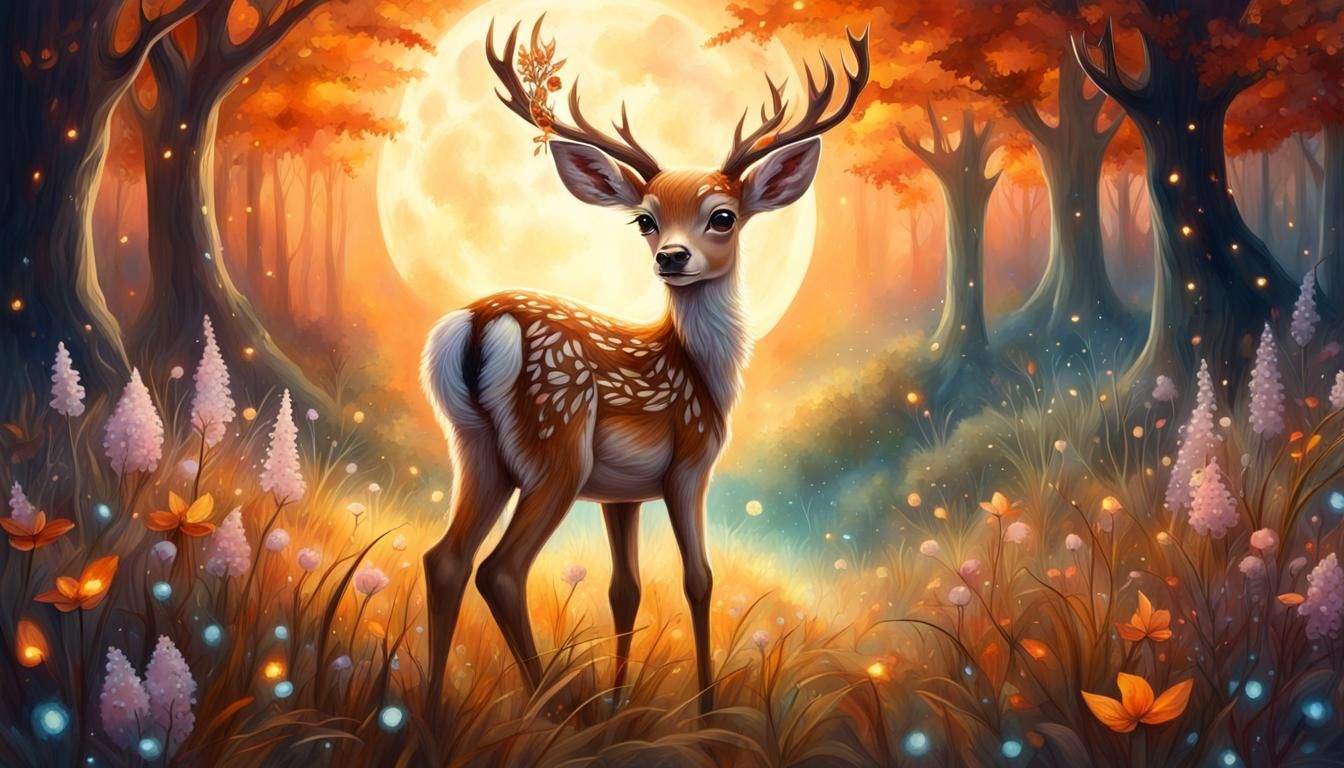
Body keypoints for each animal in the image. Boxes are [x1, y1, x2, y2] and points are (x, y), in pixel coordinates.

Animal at [420, 17, 869, 715]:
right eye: (645, 220)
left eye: (723, 215)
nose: (672, 257)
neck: (705, 373)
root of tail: (476, 325)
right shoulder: (690, 463)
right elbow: (699, 579)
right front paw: (707, 709)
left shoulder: (622, 493)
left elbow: (623, 590)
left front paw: (619, 704)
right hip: (557, 445)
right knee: (500, 570)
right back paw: (553, 708)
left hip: (476, 447)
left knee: (445, 559)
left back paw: (432, 711)